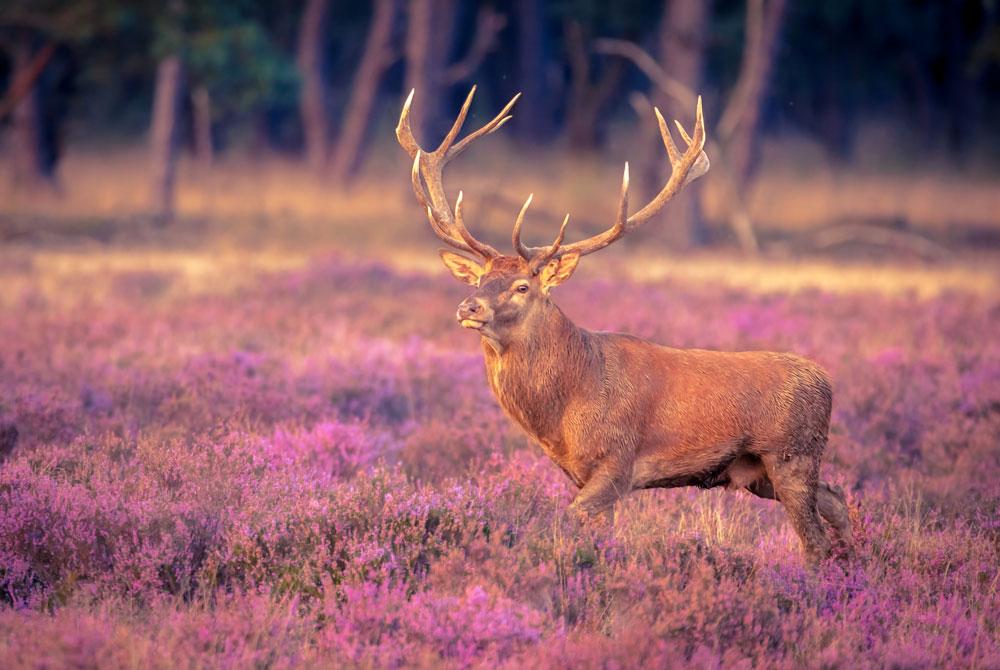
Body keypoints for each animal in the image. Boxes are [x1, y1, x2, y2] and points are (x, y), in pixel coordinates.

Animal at [394, 86, 848, 564]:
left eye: (522, 286)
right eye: (479, 279)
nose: (469, 307)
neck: (566, 408)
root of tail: (827, 381)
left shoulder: (617, 462)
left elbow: (568, 519)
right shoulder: (580, 471)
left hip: (791, 454)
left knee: (815, 539)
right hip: (761, 473)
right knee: (837, 500)